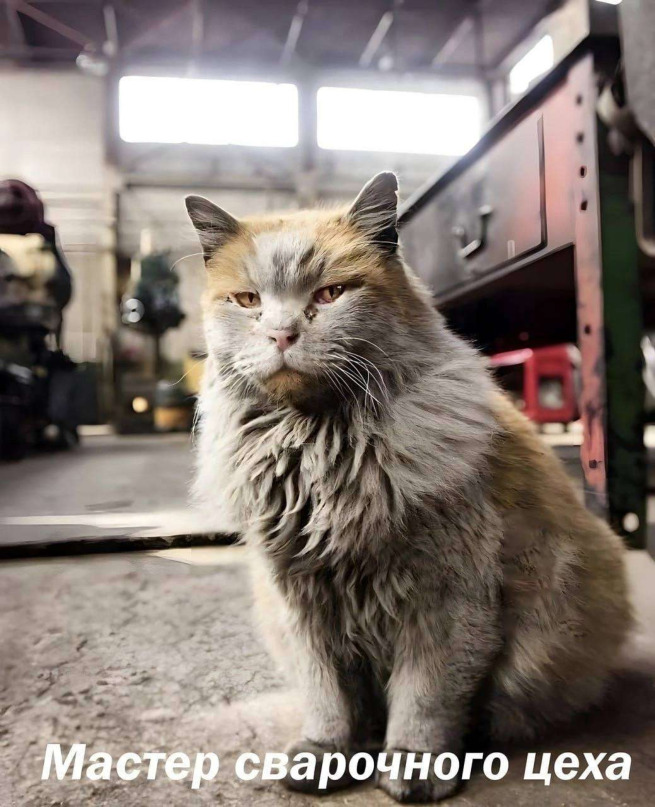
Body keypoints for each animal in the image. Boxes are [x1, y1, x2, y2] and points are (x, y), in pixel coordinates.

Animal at [187, 172, 632, 803]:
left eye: (330, 294)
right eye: (247, 301)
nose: (281, 333)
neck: (323, 451)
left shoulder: (446, 598)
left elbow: (426, 698)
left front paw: (416, 766)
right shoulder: (298, 599)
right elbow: (327, 696)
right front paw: (325, 754)